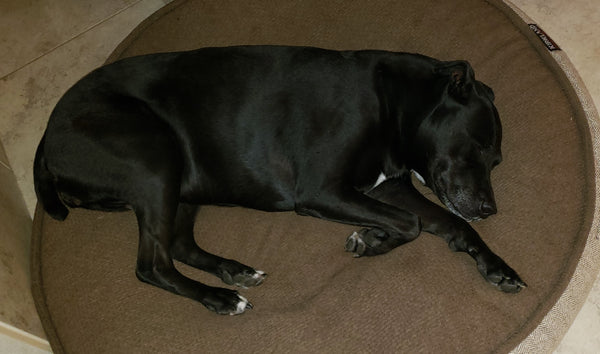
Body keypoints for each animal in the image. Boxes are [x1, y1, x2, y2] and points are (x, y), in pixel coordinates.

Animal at [36, 45, 524, 316]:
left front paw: (497, 267)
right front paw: (372, 240)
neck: (393, 101)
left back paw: (234, 272)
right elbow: (411, 223)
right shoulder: (322, 189)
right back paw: (220, 299)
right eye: (480, 145)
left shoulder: (387, 185)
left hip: (186, 180)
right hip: (154, 158)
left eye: (498, 159)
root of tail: (47, 136)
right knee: (151, 264)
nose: (490, 210)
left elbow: (444, 222)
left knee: (177, 244)